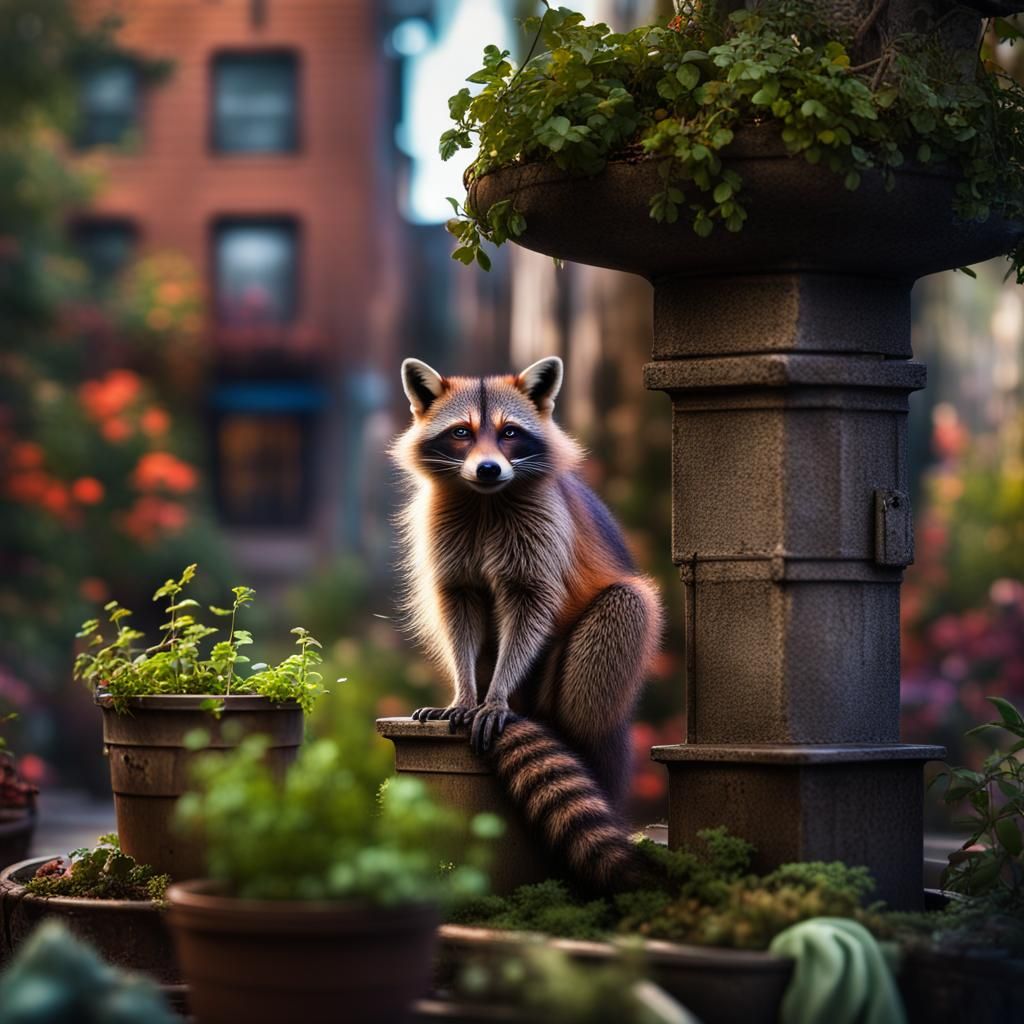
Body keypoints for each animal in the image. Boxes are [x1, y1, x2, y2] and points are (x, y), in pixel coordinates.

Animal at [391, 355, 663, 891]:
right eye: (461, 433)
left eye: (510, 433)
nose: (488, 467)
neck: (484, 497)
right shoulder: (446, 539)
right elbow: (457, 612)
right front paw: (466, 692)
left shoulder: (542, 534)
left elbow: (530, 611)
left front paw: (493, 696)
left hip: (589, 667)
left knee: (624, 609)